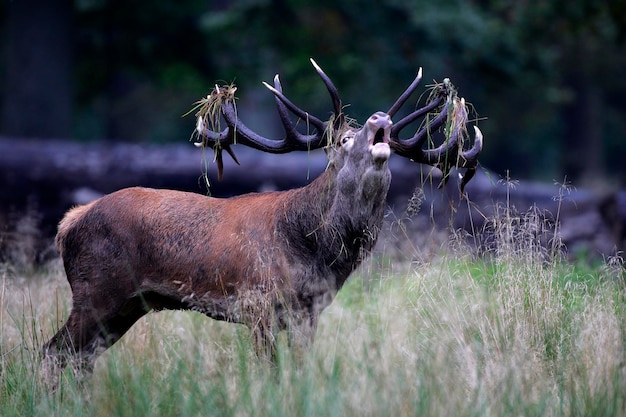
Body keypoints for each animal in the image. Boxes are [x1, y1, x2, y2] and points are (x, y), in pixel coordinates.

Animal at [42, 57, 482, 384]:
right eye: (342, 140)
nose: (380, 121)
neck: (313, 251)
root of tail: (68, 224)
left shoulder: (308, 313)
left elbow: (299, 371)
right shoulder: (258, 304)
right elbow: (267, 373)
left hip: (126, 304)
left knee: (79, 358)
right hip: (97, 291)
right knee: (55, 352)